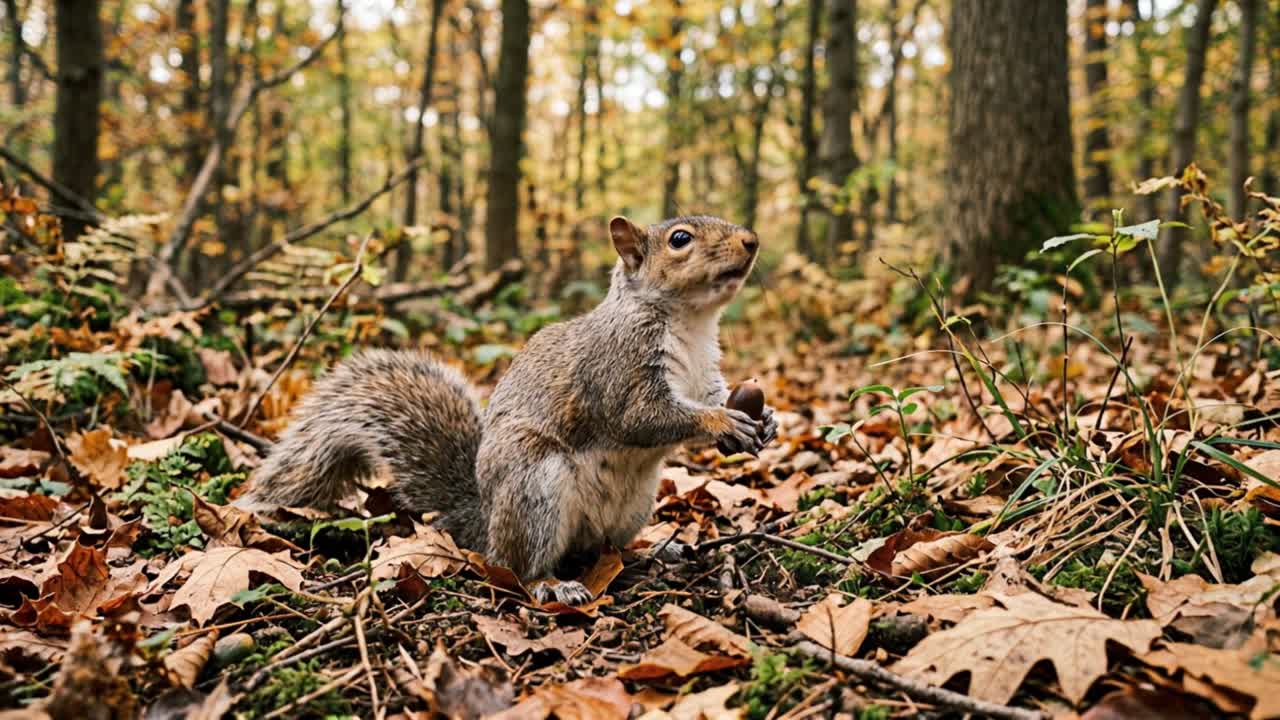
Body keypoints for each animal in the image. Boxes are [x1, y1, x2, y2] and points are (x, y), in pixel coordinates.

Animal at [236, 215, 777, 604]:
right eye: (680, 239)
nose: (751, 240)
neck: (690, 324)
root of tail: (485, 526)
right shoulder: (617, 371)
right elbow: (641, 419)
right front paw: (720, 421)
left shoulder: (705, 376)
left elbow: (711, 396)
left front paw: (764, 421)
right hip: (534, 485)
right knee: (520, 566)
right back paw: (551, 584)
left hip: (634, 503)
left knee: (604, 547)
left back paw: (655, 551)